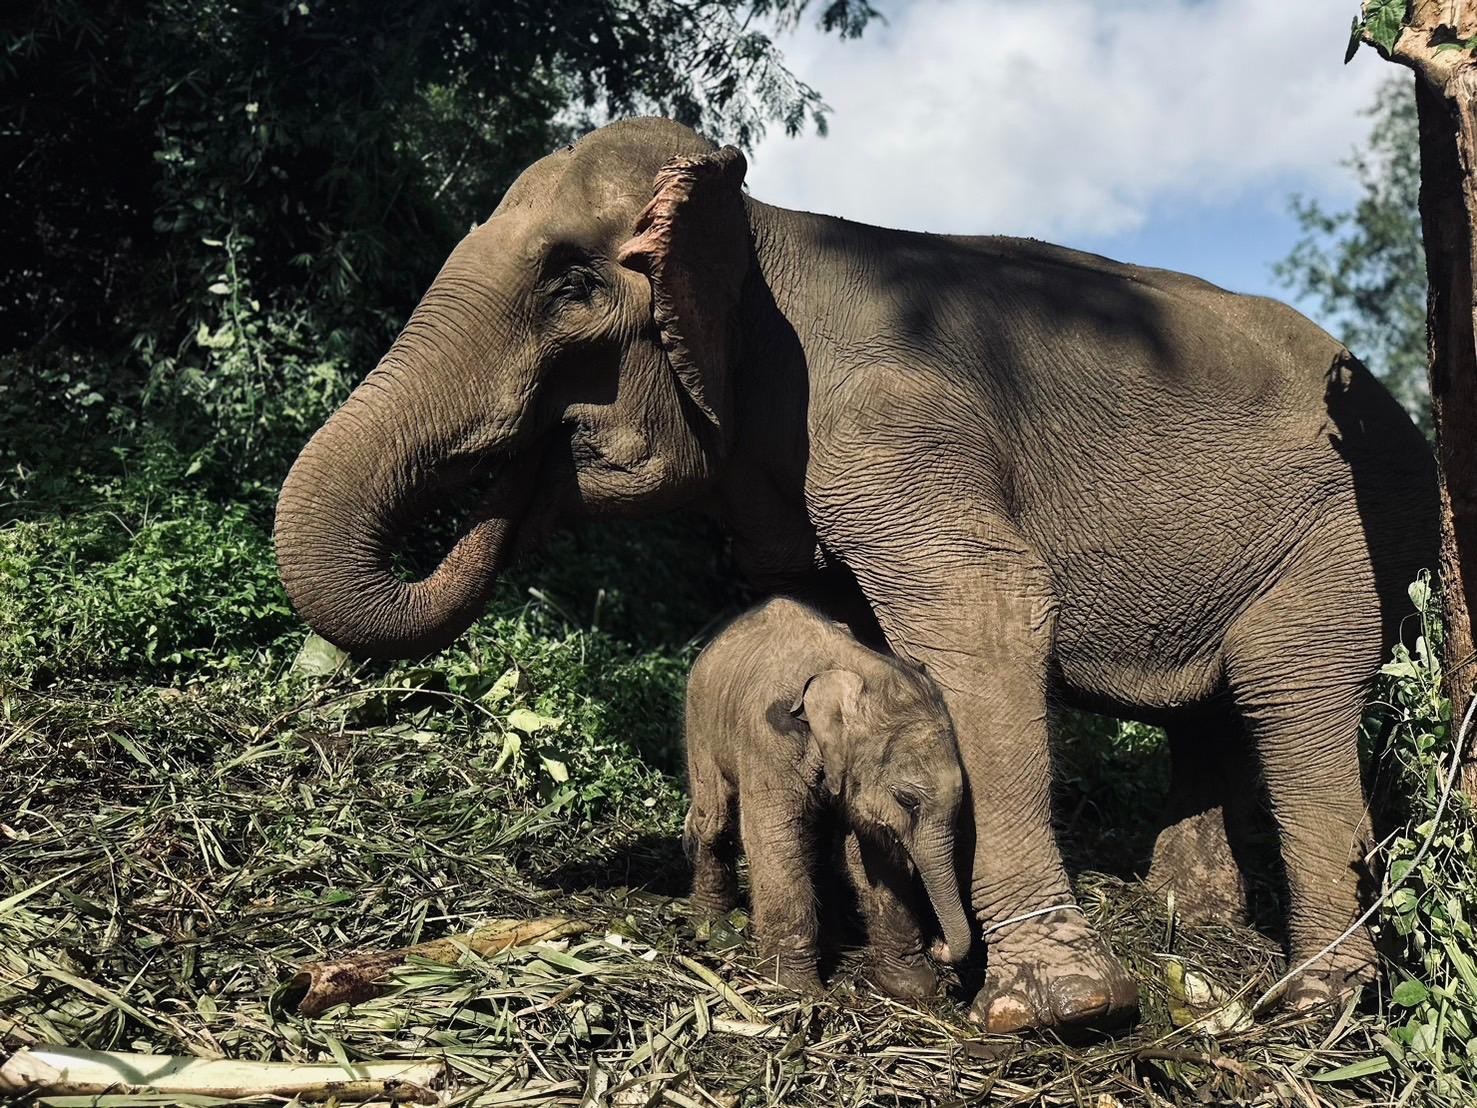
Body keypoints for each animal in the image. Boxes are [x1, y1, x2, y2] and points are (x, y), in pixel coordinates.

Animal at [683, 595, 970, 999]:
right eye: (907, 800)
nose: (939, 945)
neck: (857, 667)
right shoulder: (768, 737)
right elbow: (776, 839)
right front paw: (796, 988)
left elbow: (874, 855)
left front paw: (913, 987)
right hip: (700, 723)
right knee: (714, 819)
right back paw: (711, 923)